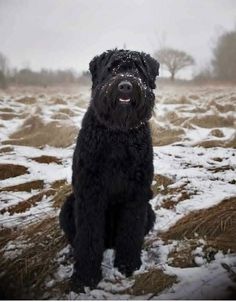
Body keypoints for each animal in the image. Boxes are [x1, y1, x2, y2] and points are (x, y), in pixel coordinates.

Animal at [59, 48, 159, 292]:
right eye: (112, 68)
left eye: (137, 69)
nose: (125, 86)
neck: (118, 135)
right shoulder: (90, 194)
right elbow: (88, 237)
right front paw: (85, 277)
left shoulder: (137, 195)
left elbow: (130, 231)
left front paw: (128, 264)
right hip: (68, 207)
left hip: (149, 211)